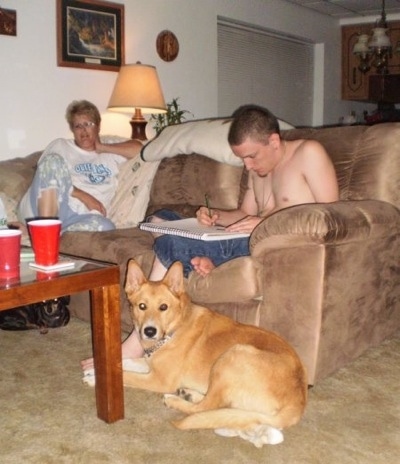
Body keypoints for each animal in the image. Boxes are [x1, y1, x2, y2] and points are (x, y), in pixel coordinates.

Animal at [123, 260, 308, 448]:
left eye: (163, 307)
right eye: (142, 306)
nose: (149, 331)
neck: (173, 329)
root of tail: (298, 402)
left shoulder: (159, 380)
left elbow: (126, 375)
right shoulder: (149, 364)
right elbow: (125, 361)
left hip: (233, 356)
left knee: (205, 407)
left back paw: (176, 400)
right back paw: (189, 394)